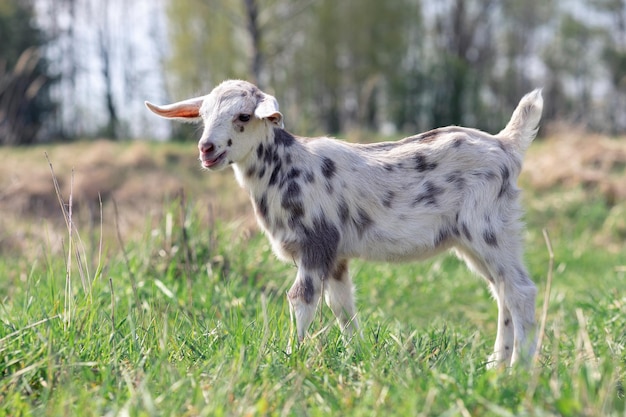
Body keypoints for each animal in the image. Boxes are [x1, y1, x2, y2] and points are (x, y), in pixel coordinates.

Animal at [146, 79, 540, 366]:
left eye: (243, 116)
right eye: (203, 116)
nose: (207, 149)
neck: (285, 168)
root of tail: (506, 145)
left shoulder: (315, 243)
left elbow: (302, 298)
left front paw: (291, 358)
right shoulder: (336, 257)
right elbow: (342, 307)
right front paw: (357, 357)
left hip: (488, 228)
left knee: (520, 291)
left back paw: (520, 371)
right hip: (475, 240)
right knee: (503, 292)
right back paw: (497, 365)